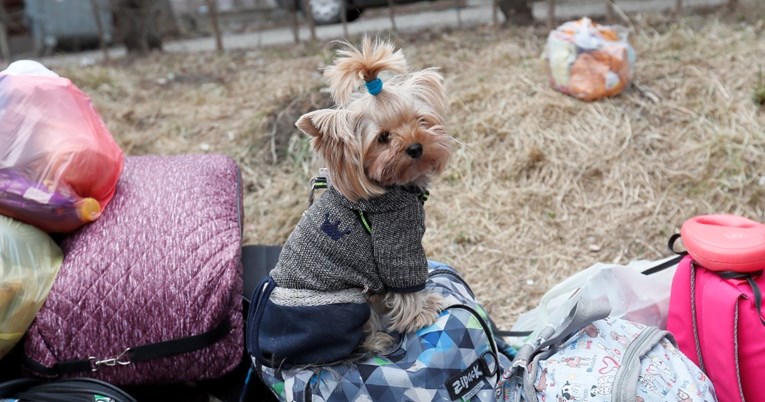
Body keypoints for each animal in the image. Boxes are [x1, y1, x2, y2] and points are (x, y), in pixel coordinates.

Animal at [251, 37, 454, 368]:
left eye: (420, 120)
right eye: (383, 138)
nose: (416, 147)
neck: (389, 189)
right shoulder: (396, 246)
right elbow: (406, 285)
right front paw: (424, 311)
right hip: (344, 303)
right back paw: (377, 341)